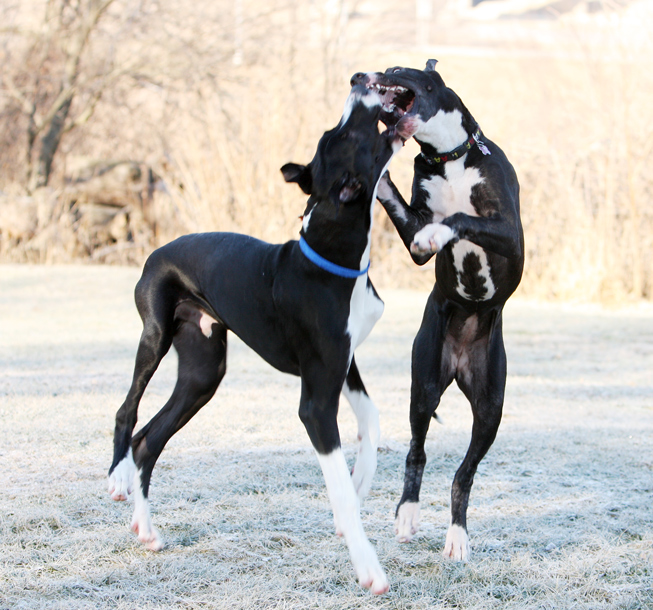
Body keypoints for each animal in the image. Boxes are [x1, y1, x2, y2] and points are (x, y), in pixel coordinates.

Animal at [107, 83, 402, 592]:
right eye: (342, 133)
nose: (360, 80)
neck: (334, 254)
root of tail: (156, 251)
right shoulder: (316, 401)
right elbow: (339, 487)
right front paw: (367, 565)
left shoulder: (343, 365)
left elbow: (372, 419)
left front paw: (361, 480)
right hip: (156, 337)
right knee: (129, 411)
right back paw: (117, 480)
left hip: (202, 374)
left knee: (150, 439)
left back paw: (146, 530)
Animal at [348, 59, 524, 560]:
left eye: (393, 67)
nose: (356, 77)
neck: (448, 159)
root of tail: (459, 361)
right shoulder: (412, 237)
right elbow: (408, 213)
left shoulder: (509, 232)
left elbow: (460, 220)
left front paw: (441, 231)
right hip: (424, 383)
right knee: (418, 451)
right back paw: (408, 514)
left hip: (490, 406)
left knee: (465, 473)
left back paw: (457, 536)